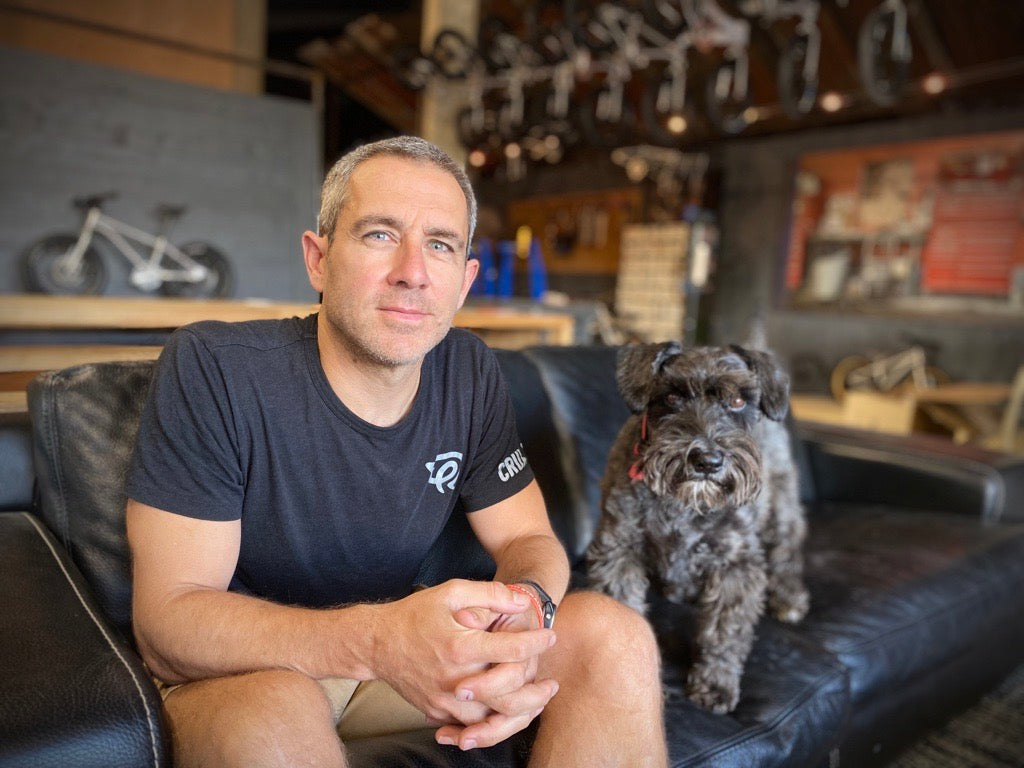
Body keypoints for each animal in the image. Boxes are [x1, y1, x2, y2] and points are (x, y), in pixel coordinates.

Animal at [589, 342, 811, 716]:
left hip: (781, 505)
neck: (685, 504)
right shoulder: (618, 552)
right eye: (672, 396)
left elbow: (725, 632)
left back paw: (789, 597)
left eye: (736, 401)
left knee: (787, 548)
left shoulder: (735, 566)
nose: (707, 461)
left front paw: (715, 685)